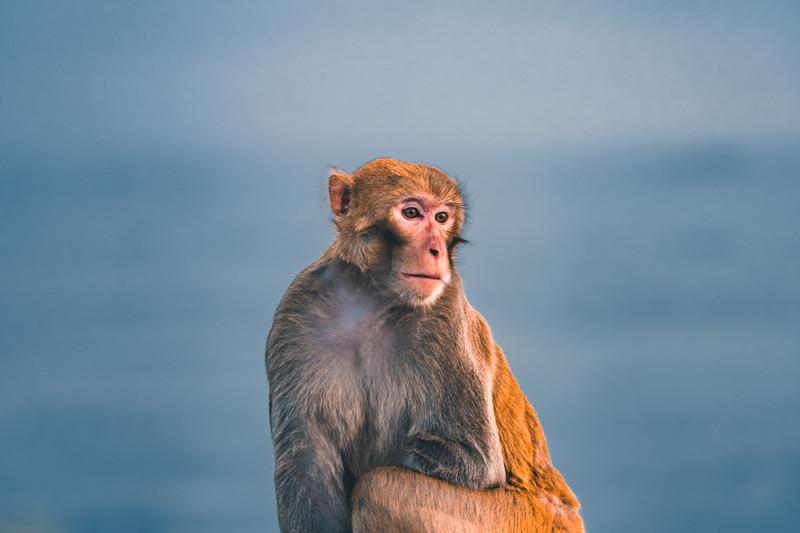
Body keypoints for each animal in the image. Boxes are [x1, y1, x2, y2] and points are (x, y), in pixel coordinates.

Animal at [266, 156, 584, 528]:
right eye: (412, 213)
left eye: (442, 218)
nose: (436, 250)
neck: (371, 299)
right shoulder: (295, 317)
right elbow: (308, 469)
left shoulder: (446, 311)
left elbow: (473, 458)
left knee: (380, 488)